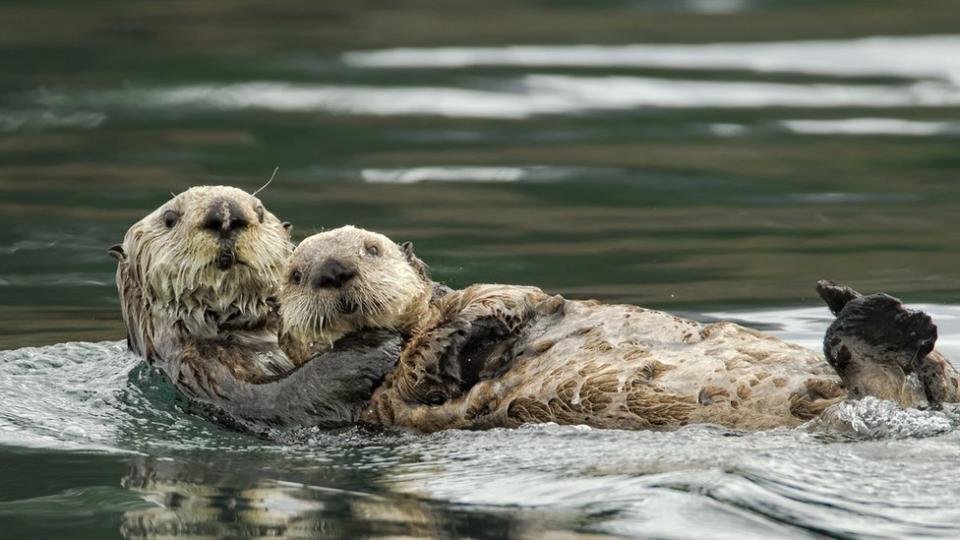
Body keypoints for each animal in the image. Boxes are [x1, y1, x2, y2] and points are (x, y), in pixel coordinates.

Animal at [112, 188, 402, 432]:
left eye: (260, 211)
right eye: (170, 218)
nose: (226, 214)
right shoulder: (201, 371)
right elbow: (277, 399)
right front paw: (377, 343)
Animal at [280, 226, 960, 432]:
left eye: (371, 249)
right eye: (295, 273)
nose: (334, 270)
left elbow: (515, 298)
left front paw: (493, 308)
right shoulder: (387, 401)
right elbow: (421, 364)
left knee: (936, 374)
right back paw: (875, 323)